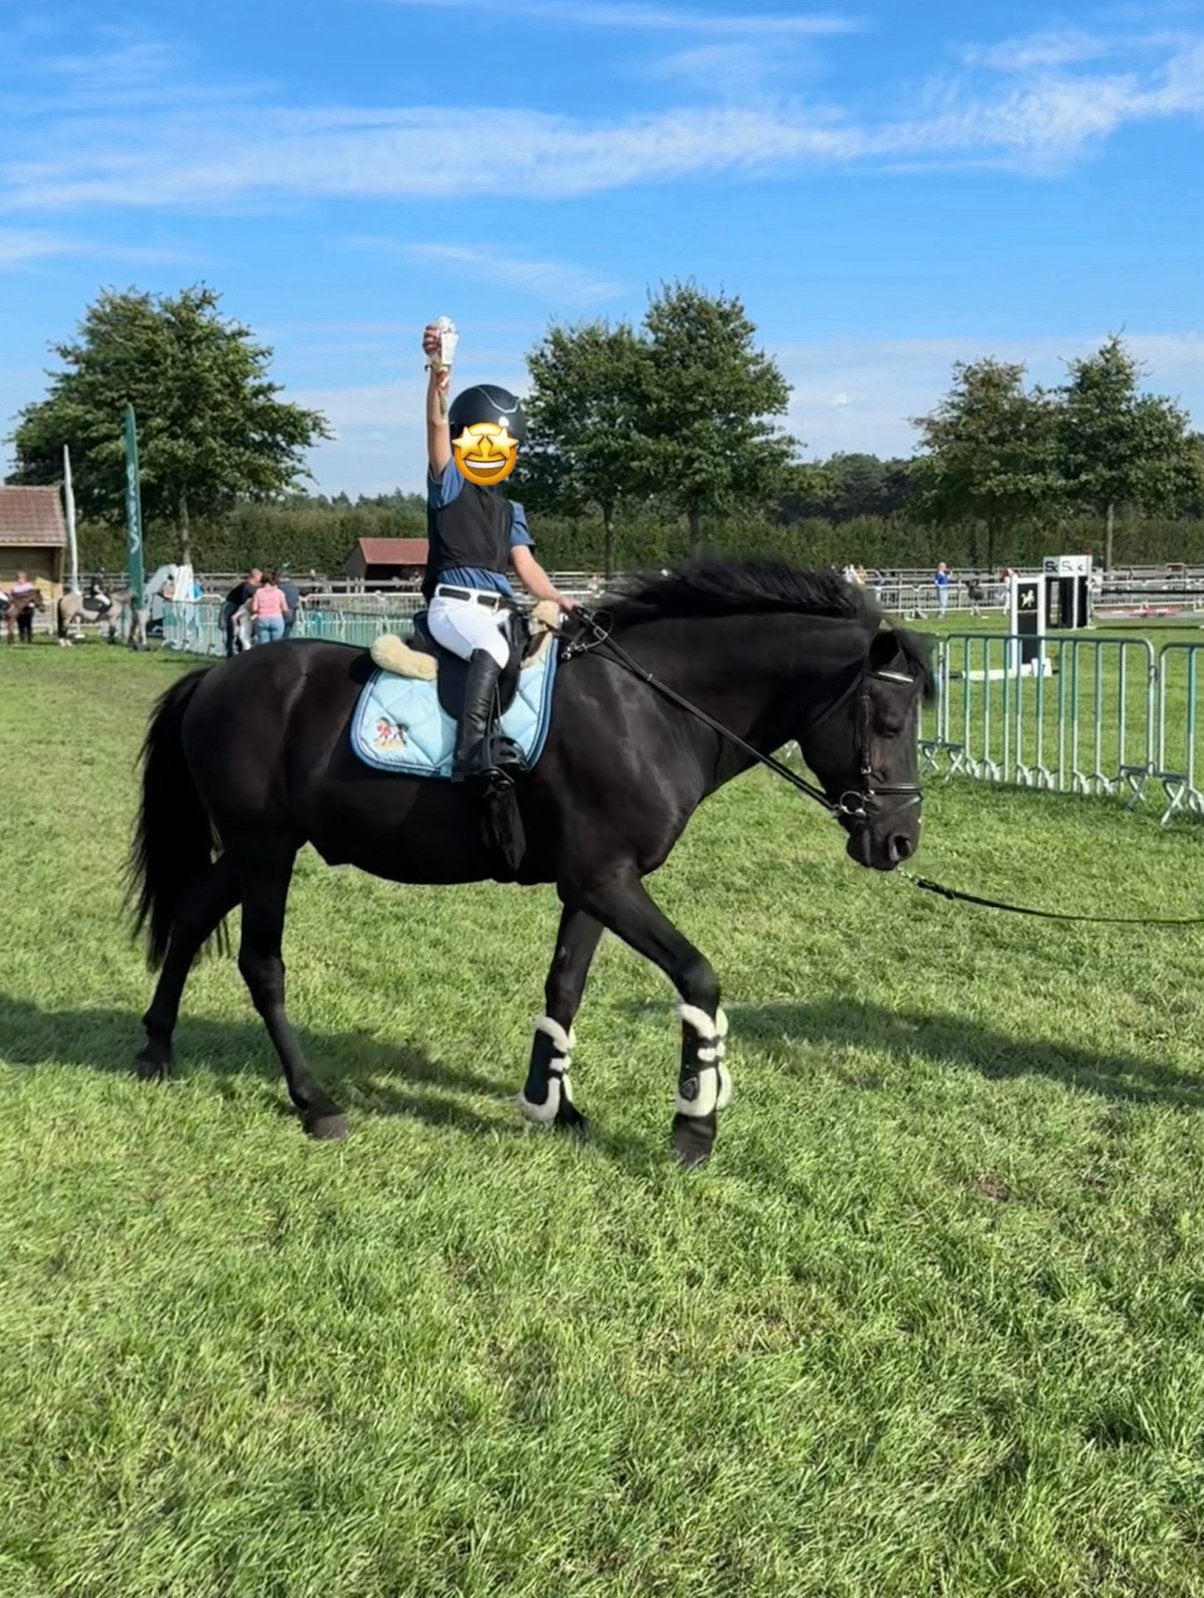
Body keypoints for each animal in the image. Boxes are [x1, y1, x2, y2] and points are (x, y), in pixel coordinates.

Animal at [127, 558, 934, 1167]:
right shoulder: (607, 881)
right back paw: (314, 1102)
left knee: (192, 916)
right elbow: (698, 978)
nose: (900, 841)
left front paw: (554, 1104)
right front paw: (693, 1126)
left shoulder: (593, 885)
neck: (650, 706)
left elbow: (564, 987)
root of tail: (216, 678)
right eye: (892, 722)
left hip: (254, 850)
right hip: (265, 852)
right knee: (262, 966)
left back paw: (156, 1051)